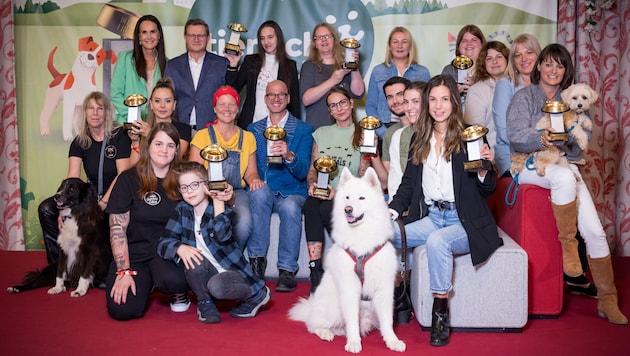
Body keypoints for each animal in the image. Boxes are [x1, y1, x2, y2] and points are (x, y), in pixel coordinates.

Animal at [288, 167, 408, 354]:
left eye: (361, 198)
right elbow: (352, 321)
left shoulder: (384, 289)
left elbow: (387, 321)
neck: (361, 238)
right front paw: (353, 342)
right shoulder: (349, 288)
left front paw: (392, 341)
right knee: (312, 325)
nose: (348, 209)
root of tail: (311, 308)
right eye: (347, 197)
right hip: (333, 307)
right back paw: (325, 332)